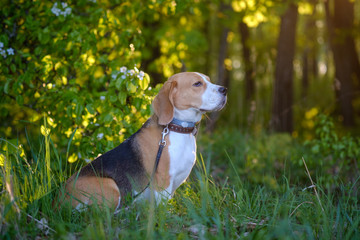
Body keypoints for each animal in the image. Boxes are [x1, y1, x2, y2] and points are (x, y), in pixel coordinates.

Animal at [63, 72, 226, 211]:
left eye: (209, 80)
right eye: (197, 84)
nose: (224, 90)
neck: (178, 128)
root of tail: (59, 199)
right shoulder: (163, 182)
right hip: (110, 186)